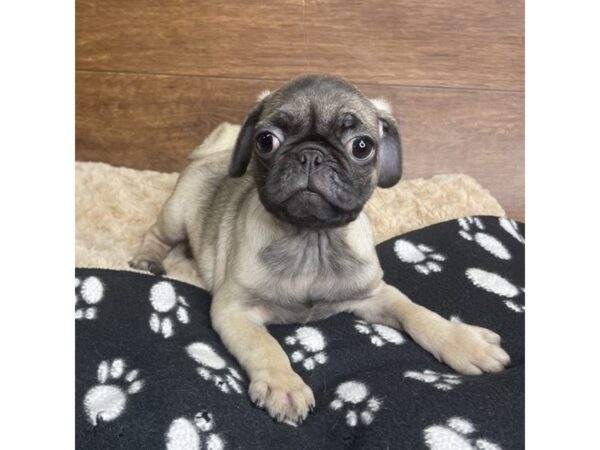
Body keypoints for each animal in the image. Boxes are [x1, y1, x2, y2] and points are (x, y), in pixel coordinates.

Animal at [129, 74, 508, 422]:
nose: (311, 155)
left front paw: (463, 342)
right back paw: (148, 260)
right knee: (156, 235)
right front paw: (283, 384)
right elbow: (264, 345)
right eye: (266, 141)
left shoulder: (375, 295)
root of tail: (214, 153)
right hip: (175, 216)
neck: (312, 241)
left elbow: (417, 313)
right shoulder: (233, 308)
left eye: (361, 146)